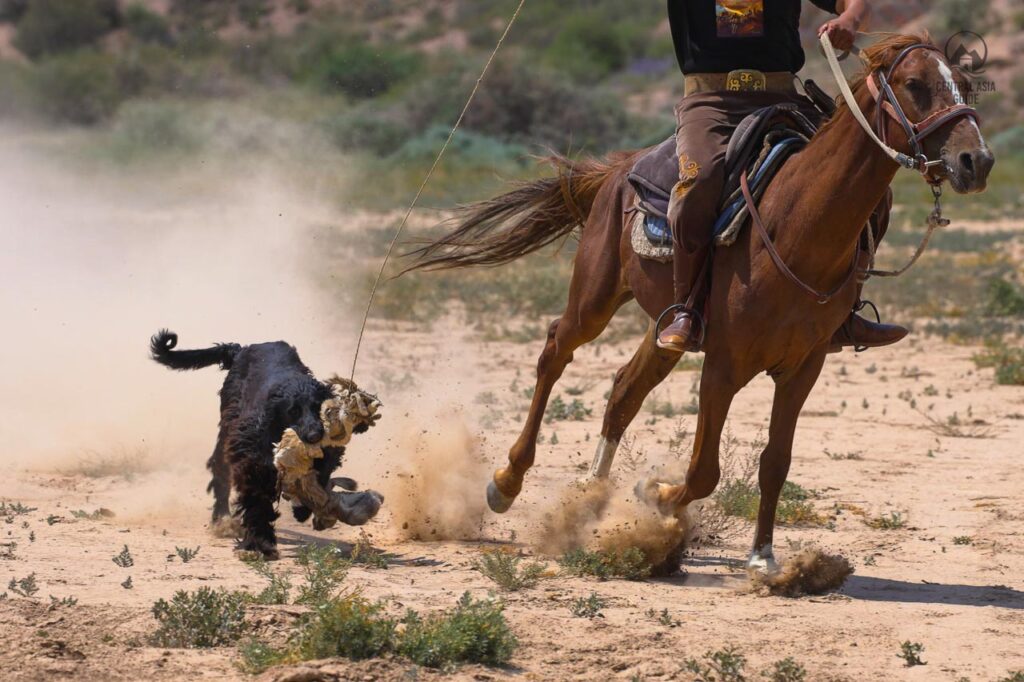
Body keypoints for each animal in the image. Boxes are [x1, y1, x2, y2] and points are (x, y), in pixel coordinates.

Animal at [149, 329, 337, 557]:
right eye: (293, 411)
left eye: (319, 407)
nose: (314, 435)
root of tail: (239, 349)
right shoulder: (252, 457)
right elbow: (257, 498)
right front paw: (260, 542)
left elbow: (318, 474)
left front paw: (302, 507)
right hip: (227, 425)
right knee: (220, 472)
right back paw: (222, 520)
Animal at [405, 35, 991, 569]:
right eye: (915, 85)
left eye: (965, 84)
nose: (976, 160)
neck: (798, 226)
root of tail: (618, 169)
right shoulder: (724, 364)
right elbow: (704, 470)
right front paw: (656, 495)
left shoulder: (805, 366)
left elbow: (776, 461)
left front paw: (763, 558)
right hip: (594, 299)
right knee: (555, 353)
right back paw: (507, 482)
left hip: (667, 329)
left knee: (624, 391)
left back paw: (590, 502)